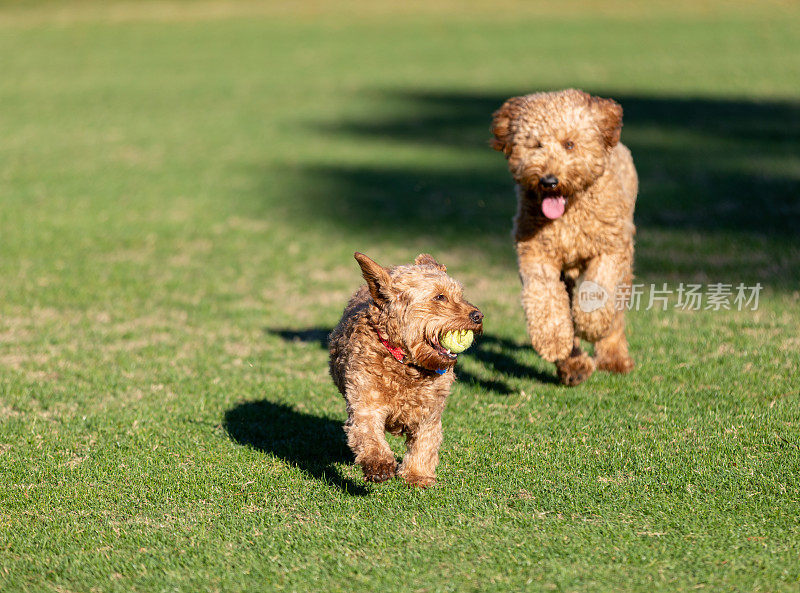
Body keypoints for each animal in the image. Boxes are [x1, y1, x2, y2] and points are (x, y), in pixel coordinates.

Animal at [330, 252, 484, 488]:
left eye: (460, 294)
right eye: (440, 297)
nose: (478, 316)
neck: (406, 365)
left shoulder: (430, 409)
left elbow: (425, 441)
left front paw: (417, 475)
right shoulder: (365, 401)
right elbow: (368, 433)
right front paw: (379, 465)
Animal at [490, 86, 636, 384]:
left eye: (569, 144)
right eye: (536, 144)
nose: (549, 181)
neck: (568, 216)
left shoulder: (610, 249)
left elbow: (598, 291)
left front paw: (590, 324)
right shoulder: (535, 253)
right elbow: (545, 298)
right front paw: (553, 340)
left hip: (625, 260)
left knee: (616, 313)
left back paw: (614, 357)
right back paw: (574, 365)